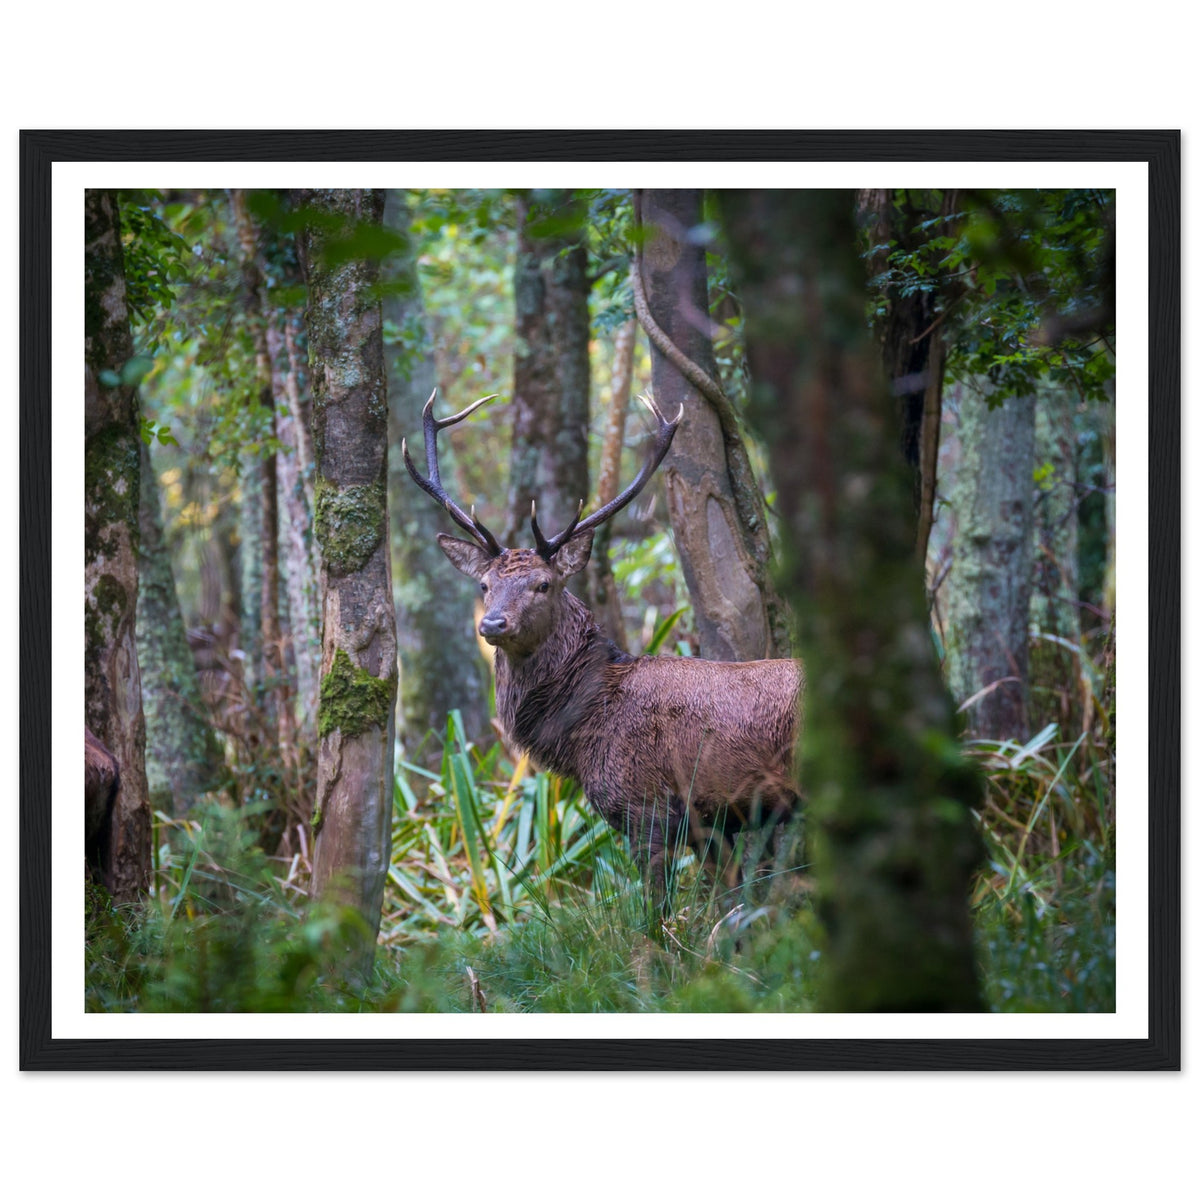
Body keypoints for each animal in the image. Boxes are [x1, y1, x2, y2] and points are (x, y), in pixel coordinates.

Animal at [403, 391, 803, 903]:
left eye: (544, 584)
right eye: (484, 585)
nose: (492, 622)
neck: (581, 733)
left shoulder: (646, 807)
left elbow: (657, 910)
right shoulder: (709, 824)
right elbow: (734, 903)